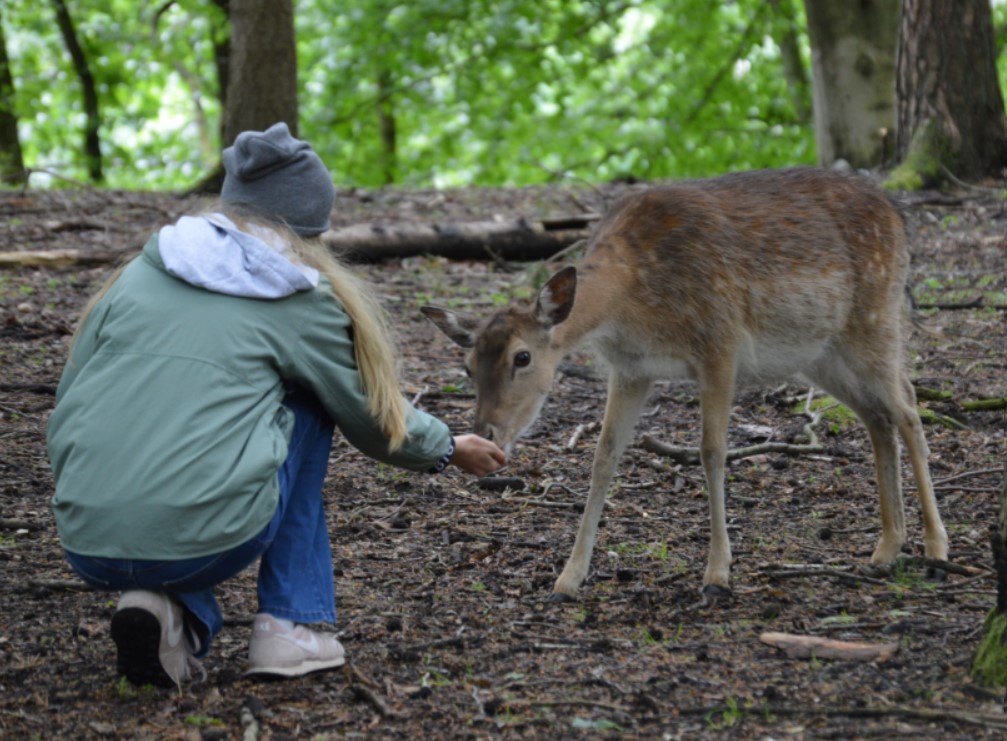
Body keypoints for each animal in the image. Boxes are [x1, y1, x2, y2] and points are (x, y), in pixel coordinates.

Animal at [420, 168, 946, 604]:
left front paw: (717, 576)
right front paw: (567, 581)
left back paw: (936, 550)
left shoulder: (720, 344)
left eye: (522, 357)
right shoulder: (632, 369)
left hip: (875, 318)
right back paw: (886, 548)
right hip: (822, 354)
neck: (632, 308)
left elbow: (711, 450)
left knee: (910, 410)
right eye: (467, 366)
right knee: (879, 417)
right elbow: (603, 458)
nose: (486, 433)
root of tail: (898, 213)